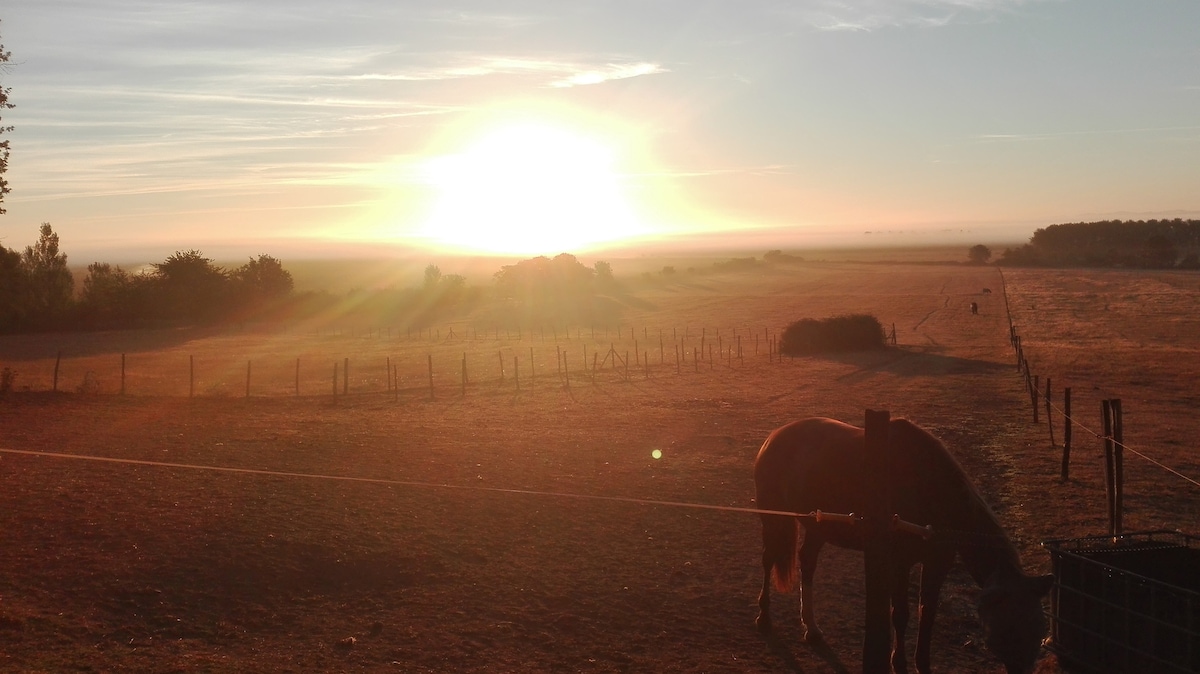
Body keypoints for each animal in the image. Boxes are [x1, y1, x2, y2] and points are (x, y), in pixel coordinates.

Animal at [753, 414, 1056, 671]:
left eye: (1040, 631)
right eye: (1010, 629)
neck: (928, 489)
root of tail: (773, 437)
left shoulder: (937, 564)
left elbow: (927, 613)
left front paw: (923, 664)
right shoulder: (898, 563)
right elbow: (900, 614)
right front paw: (897, 663)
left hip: (818, 526)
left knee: (807, 563)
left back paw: (812, 628)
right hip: (773, 518)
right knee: (768, 559)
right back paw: (764, 617)